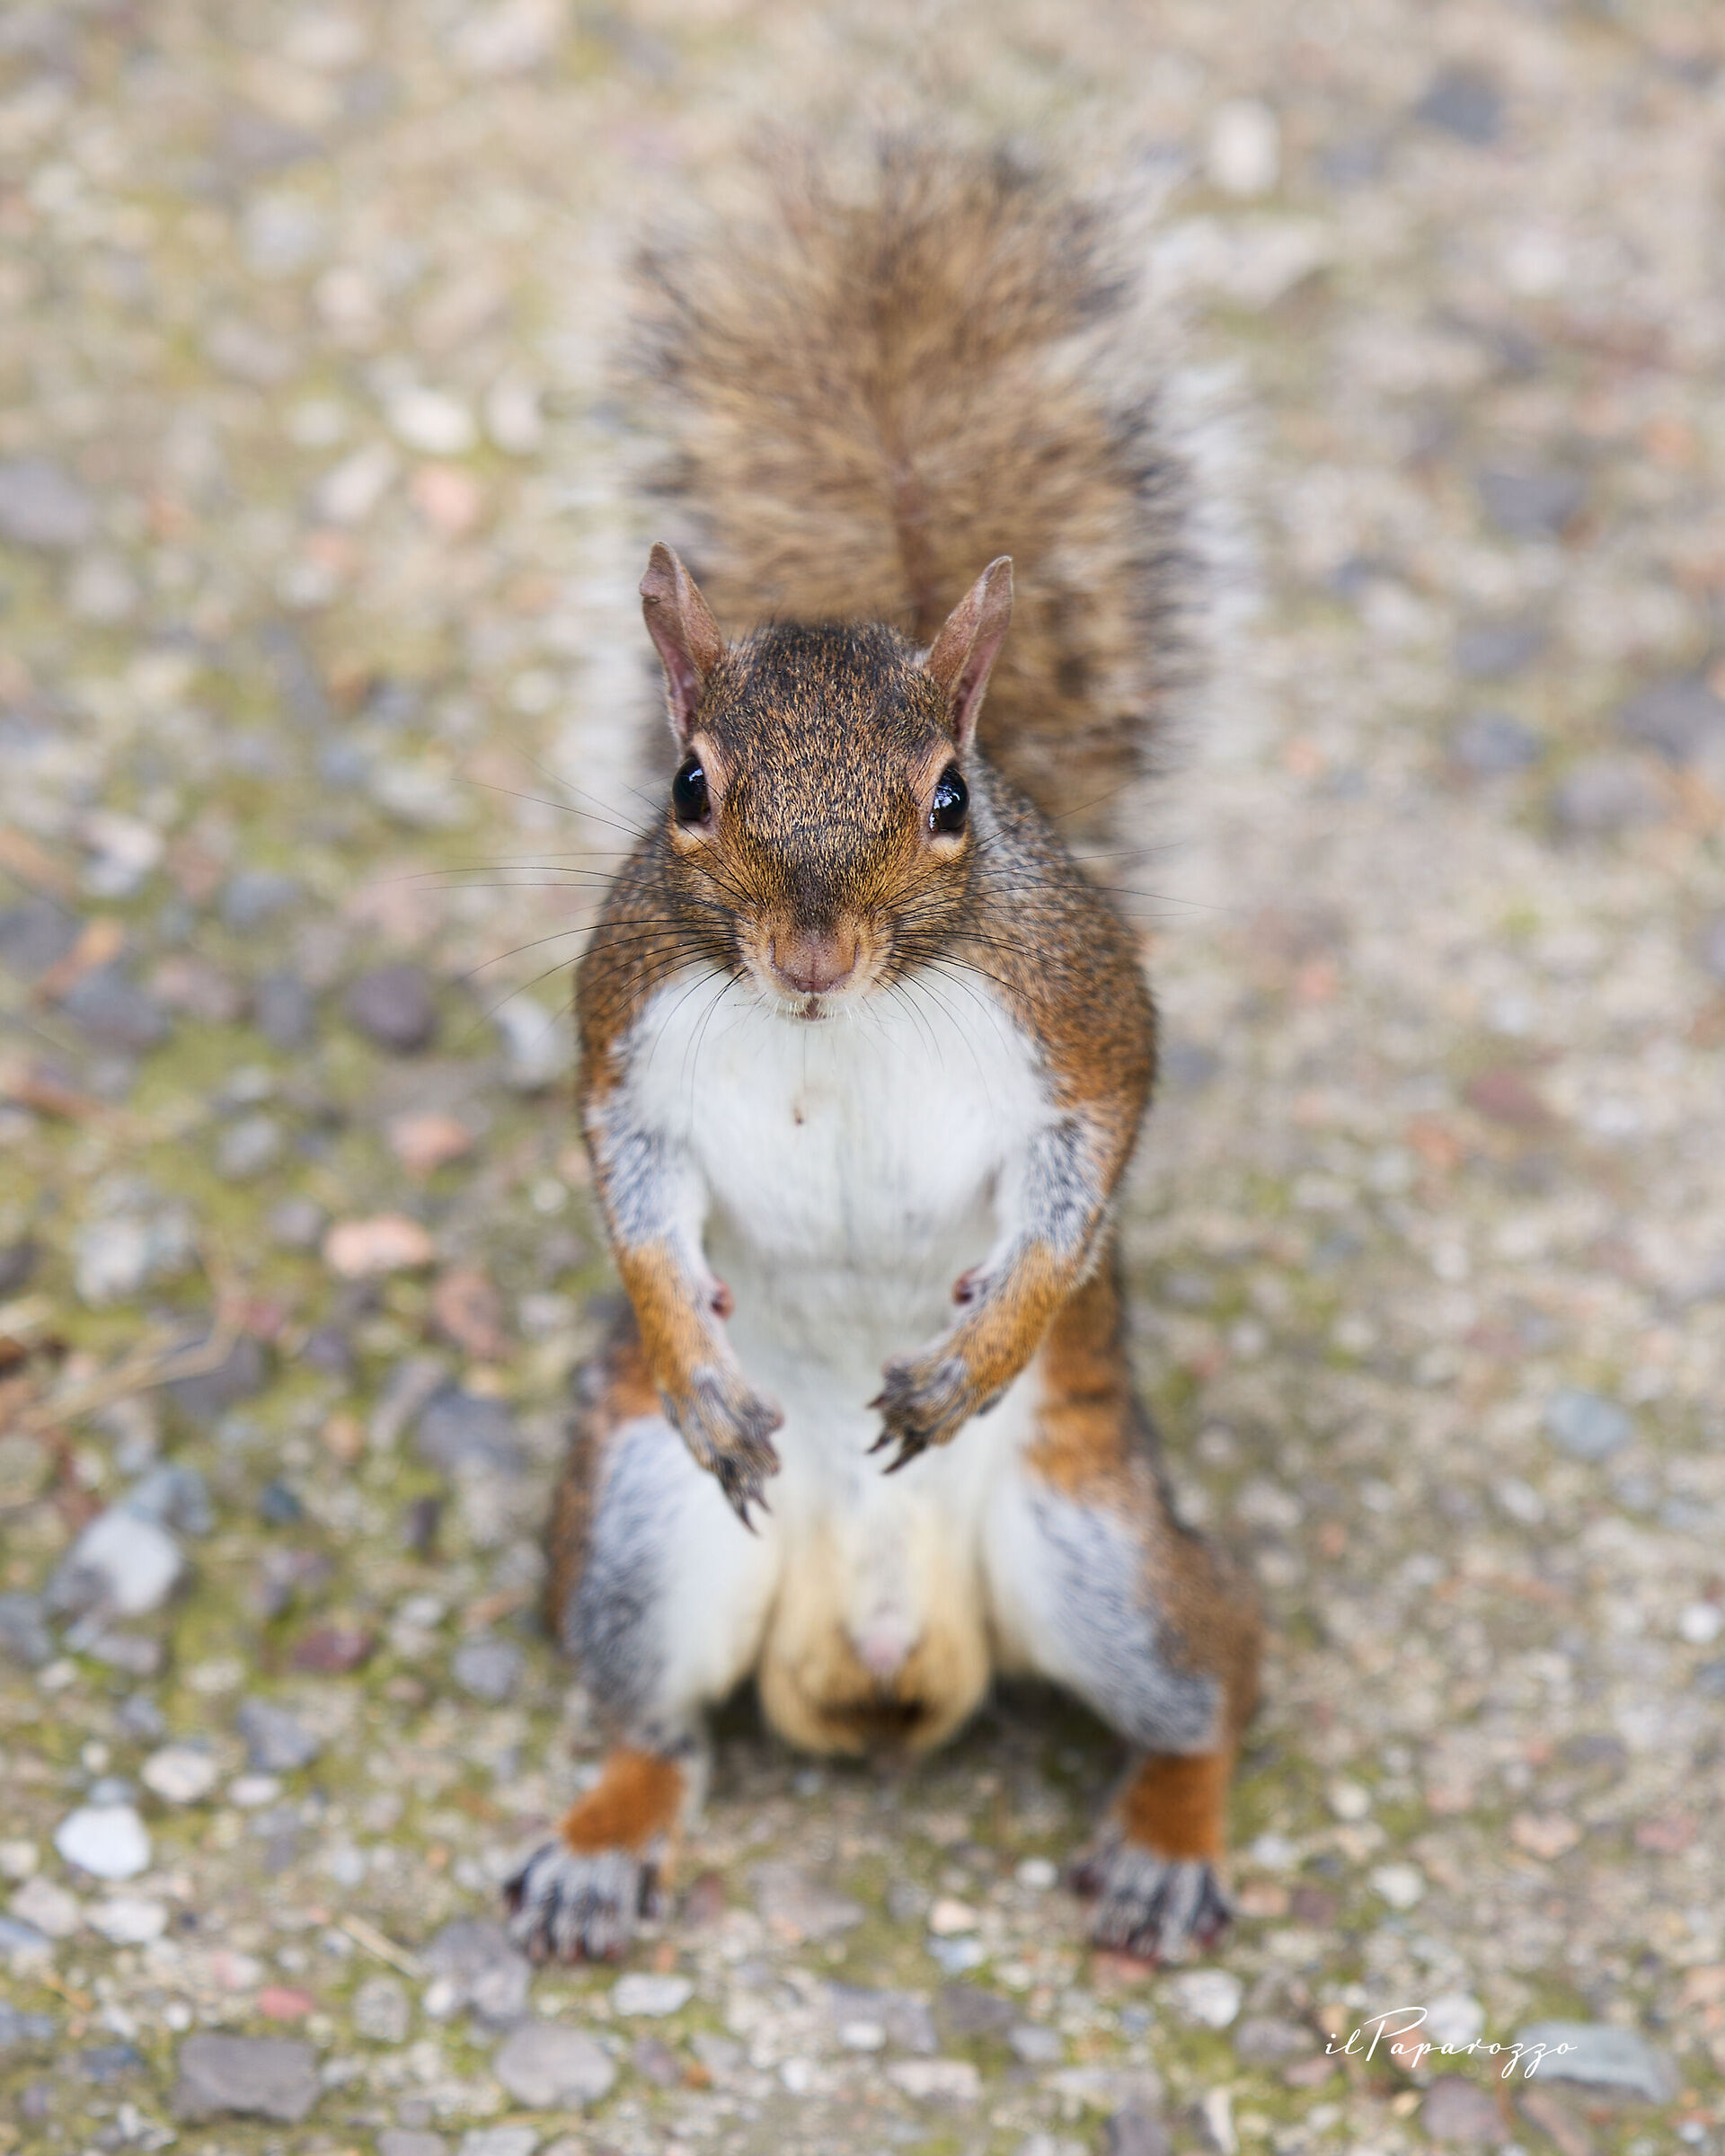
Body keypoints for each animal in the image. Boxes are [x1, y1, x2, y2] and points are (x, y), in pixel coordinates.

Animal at [504, 135, 1262, 1968]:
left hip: (1106, 1554)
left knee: (1223, 1671)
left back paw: (1168, 1837)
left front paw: (973, 1358)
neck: (834, 1024)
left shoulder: (1081, 1010)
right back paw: (602, 1845)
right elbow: (630, 1192)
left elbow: (1088, 1162)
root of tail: (875, 1655)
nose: (811, 949)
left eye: (951, 801)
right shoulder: (626, 1025)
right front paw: (696, 1361)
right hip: (636, 1542)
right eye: (689, 786)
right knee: (655, 1722)